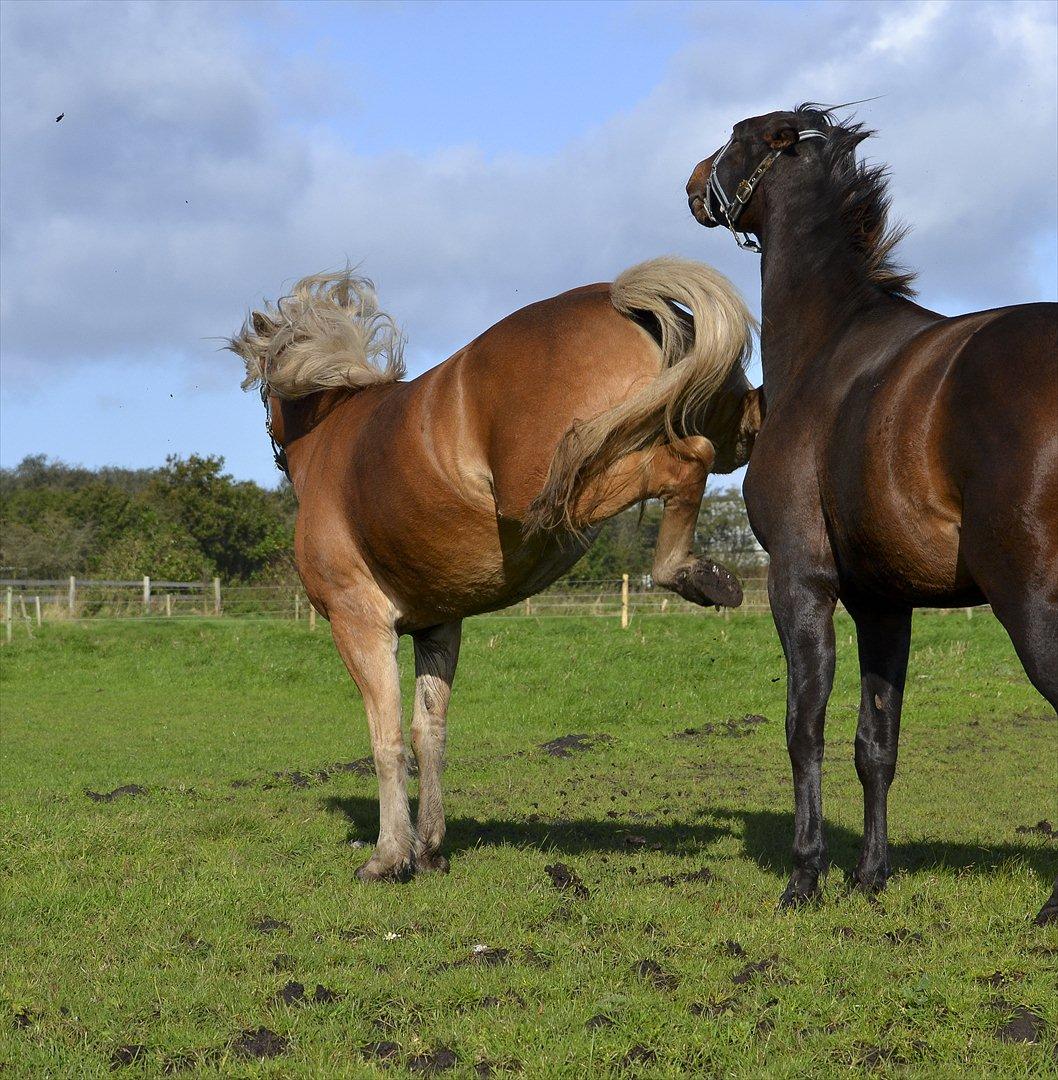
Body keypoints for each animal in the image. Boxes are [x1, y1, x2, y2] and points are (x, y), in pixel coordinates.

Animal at [231, 257, 760, 881]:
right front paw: (429, 848)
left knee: (689, 460)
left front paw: (389, 856)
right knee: (729, 438)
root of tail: (618, 298)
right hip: (699, 427)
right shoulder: (438, 626)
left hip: (564, 486)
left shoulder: (358, 623)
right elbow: (428, 733)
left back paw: (694, 574)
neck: (331, 434)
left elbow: (386, 740)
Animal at [686, 105, 1058, 924]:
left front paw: (805, 876)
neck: (828, 347)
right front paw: (870, 874)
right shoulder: (886, 603)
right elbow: (874, 743)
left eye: (736, 137)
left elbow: (806, 729)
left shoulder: (800, 582)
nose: (694, 183)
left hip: (1030, 600)